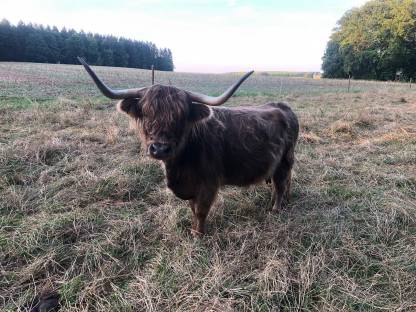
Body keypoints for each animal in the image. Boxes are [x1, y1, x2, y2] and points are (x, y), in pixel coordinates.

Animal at [79, 57, 300, 235]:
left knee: (281, 184)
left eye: (180, 117)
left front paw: (198, 235)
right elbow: (193, 209)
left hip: (285, 159)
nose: (159, 149)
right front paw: (194, 230)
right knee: (282, 182)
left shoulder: (209, 183)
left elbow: (201, 210)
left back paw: (275, 209)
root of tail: (282, 106)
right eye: (147, 114)